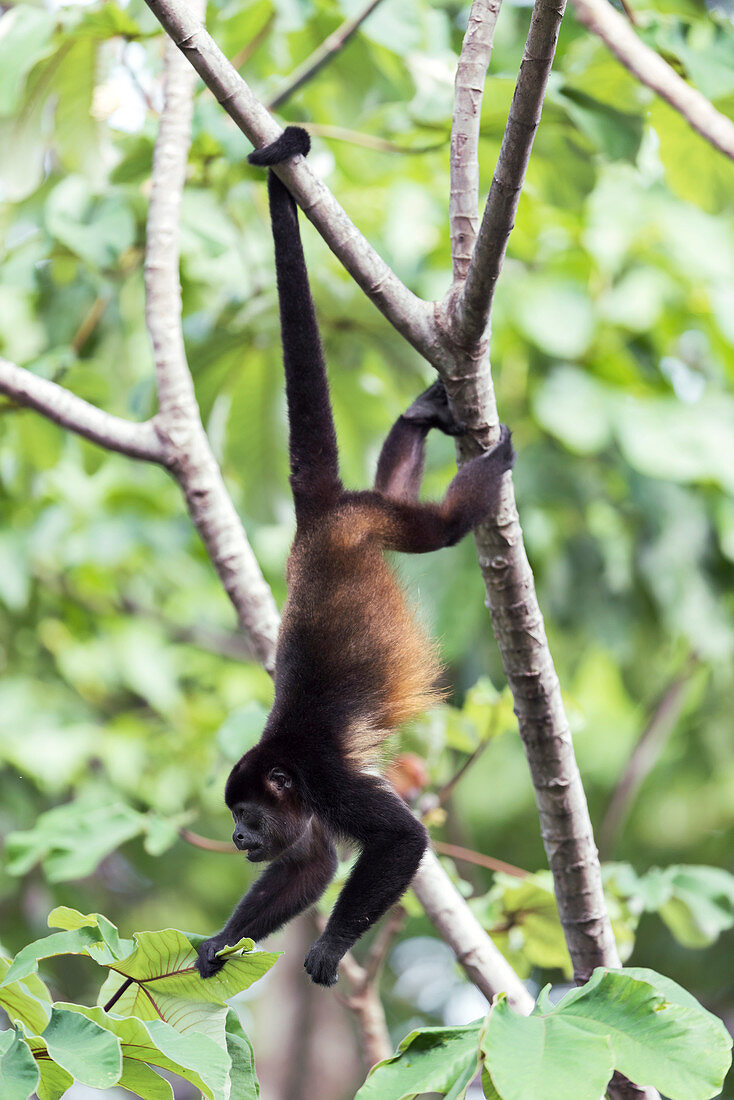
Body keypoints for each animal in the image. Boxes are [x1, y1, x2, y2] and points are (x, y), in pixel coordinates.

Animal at [196, 128, 517, 990]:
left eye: (246, 815)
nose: (237, 841)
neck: (288, 769)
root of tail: (316, 521)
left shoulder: (331, 784)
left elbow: (404, 840)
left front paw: (328, 949)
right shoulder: (307, 810)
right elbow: (307, 866)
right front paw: (215, 943)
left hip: (372, 518)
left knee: (441, 527)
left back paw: (491, 465)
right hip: (365, 517)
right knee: (398, 482)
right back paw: (417, 417)